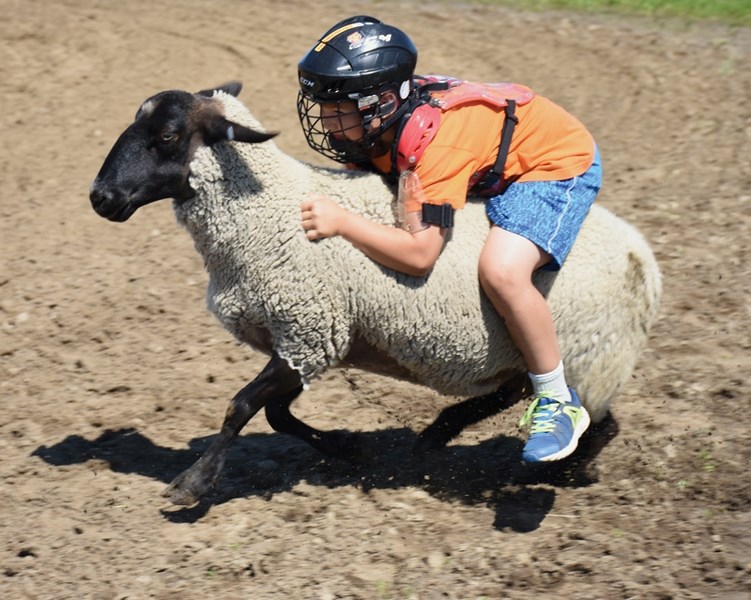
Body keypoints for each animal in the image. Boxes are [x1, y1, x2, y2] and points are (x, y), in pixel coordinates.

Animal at [89, 82, 664, 504]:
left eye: (167, 135)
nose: (100, 197)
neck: (269, 209)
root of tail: (646, 258)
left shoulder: (308, 327)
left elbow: (240, 406)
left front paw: (192, 484)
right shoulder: (309, 340)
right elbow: (274, 413)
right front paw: (345, 448)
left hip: (590, 353)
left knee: (593, 421)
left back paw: (553, 468)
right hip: (543, 355)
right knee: (517, 391)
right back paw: (438, 434)